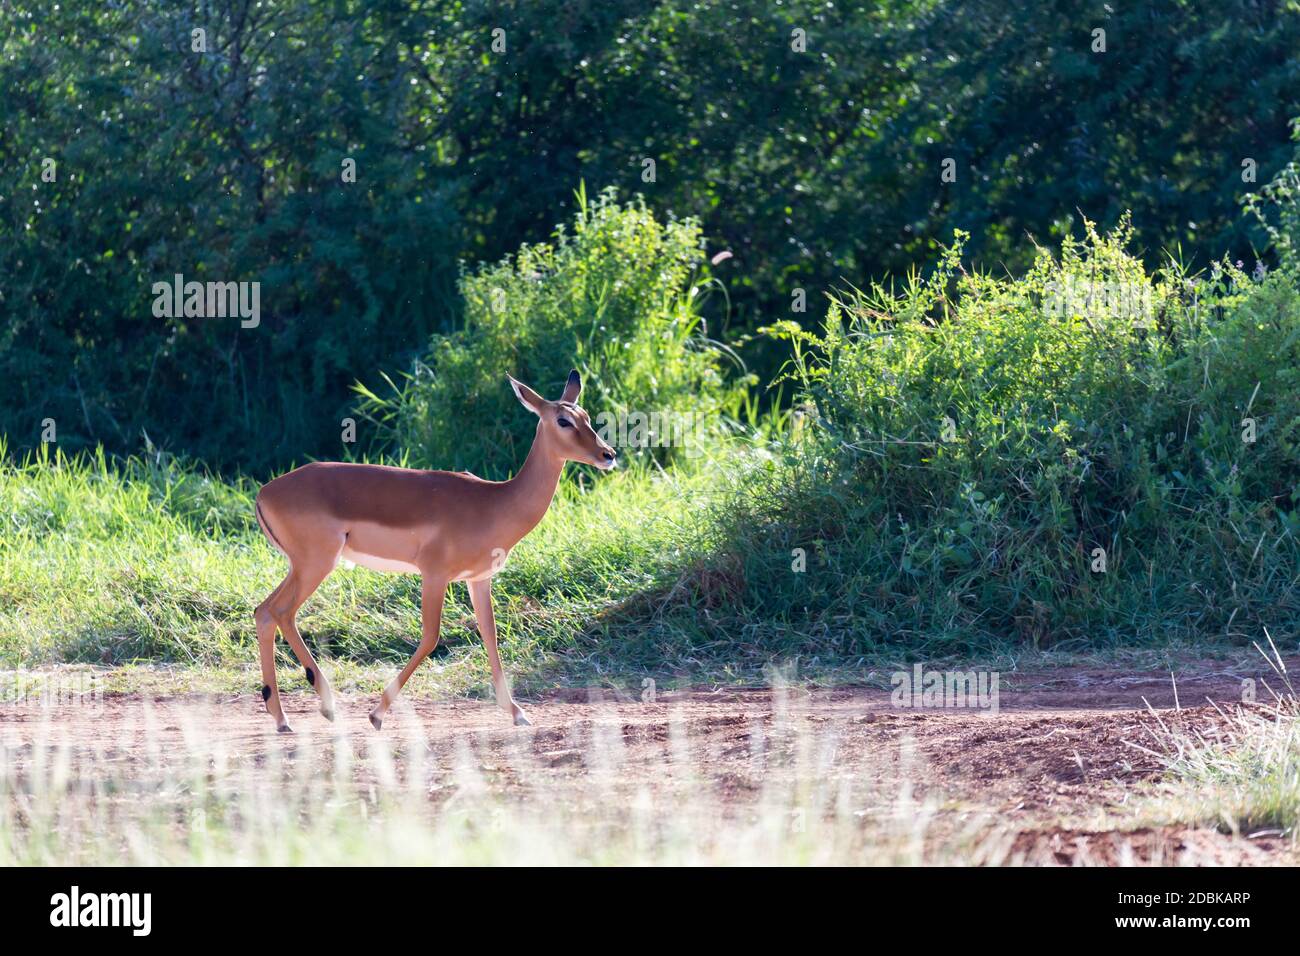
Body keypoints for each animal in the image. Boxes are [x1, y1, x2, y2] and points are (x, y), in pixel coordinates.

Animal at [252, 369, 616, 732]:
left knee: (264, 611)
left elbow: (490, 634)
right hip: (316, 564)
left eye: (586, 416)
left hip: (301, 566)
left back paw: (283, 716)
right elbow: (430, 637)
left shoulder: (478, 579)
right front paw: (376, 714)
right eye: (563, 420)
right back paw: (323, 708)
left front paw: (517, 713)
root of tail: (264, 493)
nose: (608, 454)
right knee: (281, 612)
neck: (495, 503)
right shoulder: (434, 575)